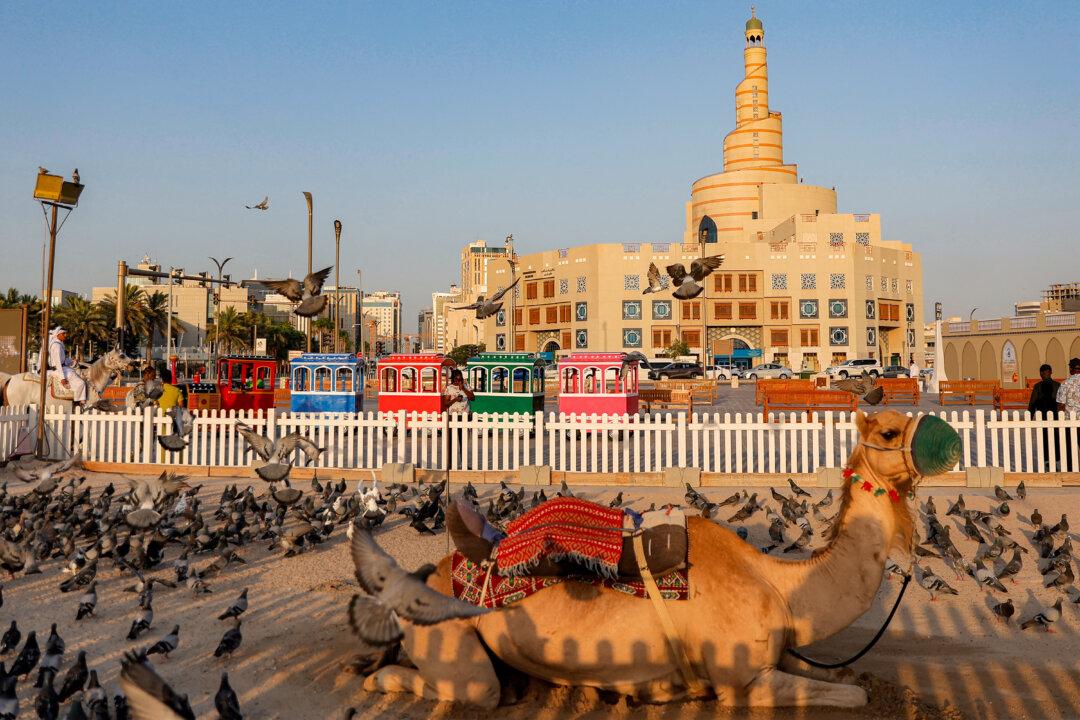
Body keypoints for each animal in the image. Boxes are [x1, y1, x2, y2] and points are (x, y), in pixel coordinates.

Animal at [362, 409, 961, 709]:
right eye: (890, 430)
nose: (952, 444)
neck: (780, 585)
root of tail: (427, 574)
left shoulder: (779, 654)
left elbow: (844, 675)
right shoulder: (742, 681)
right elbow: (854, 696)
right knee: (474, 691)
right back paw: (375, 682)